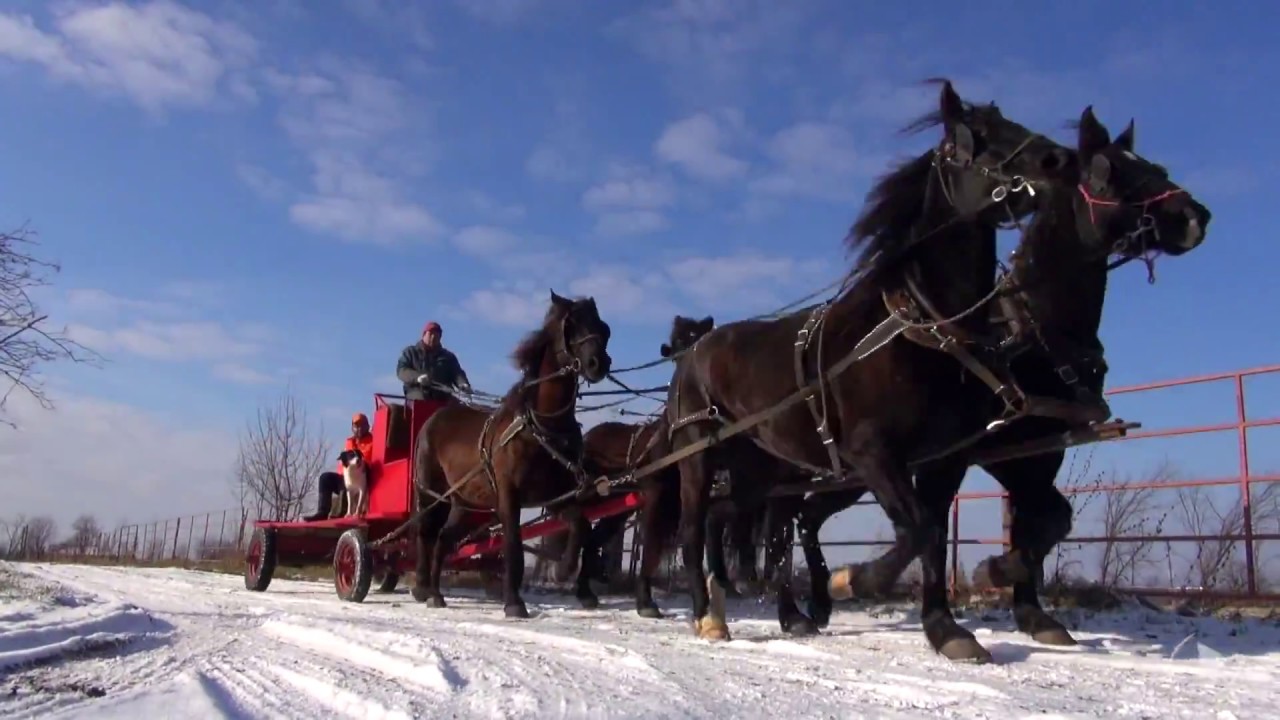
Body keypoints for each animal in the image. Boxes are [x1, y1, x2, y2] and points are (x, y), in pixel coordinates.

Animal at [665, 81, 1075, 653]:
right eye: (972, 139)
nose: (1060, 160)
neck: (917, 328)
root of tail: (693, 352)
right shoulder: (872, 453)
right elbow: (920, 530)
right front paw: (853, 580)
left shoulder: (942, 458)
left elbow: (932, 533)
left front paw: (946, 627)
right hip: (698, 458)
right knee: (692, 526)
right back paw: (706, 613)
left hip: (758, 469)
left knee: (723, 520)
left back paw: (727, 605)